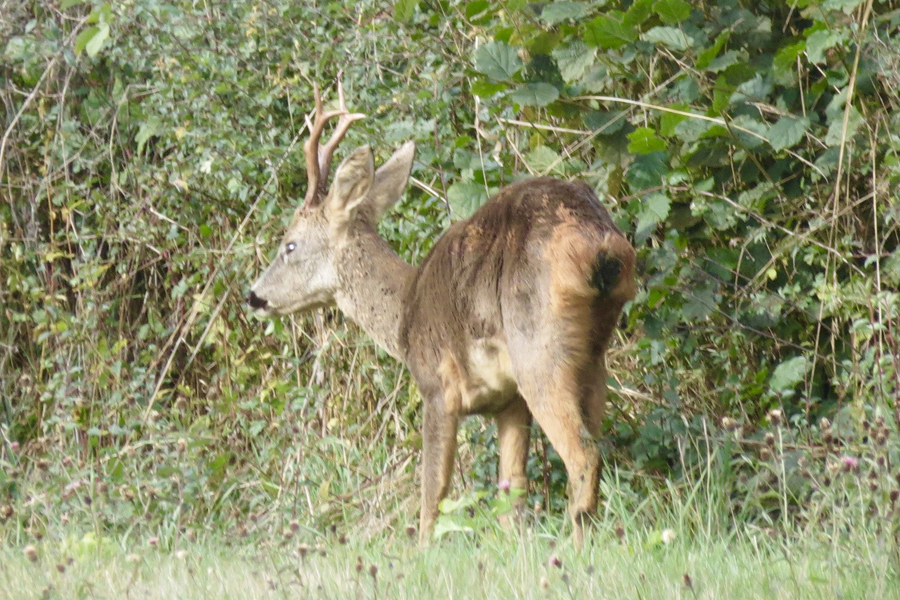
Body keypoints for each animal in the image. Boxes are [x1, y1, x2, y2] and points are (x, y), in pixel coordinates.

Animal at [250, 81, 636, 548]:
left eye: (289, 245)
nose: (255, 296)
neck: (405, 313)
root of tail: (599, 245)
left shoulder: (438, 386)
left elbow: (433, 492)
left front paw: (422, 551)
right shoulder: (509, 402)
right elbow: (512, 491)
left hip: (539, 347)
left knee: (583, 455)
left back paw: (574, 548)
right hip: (594, 354)